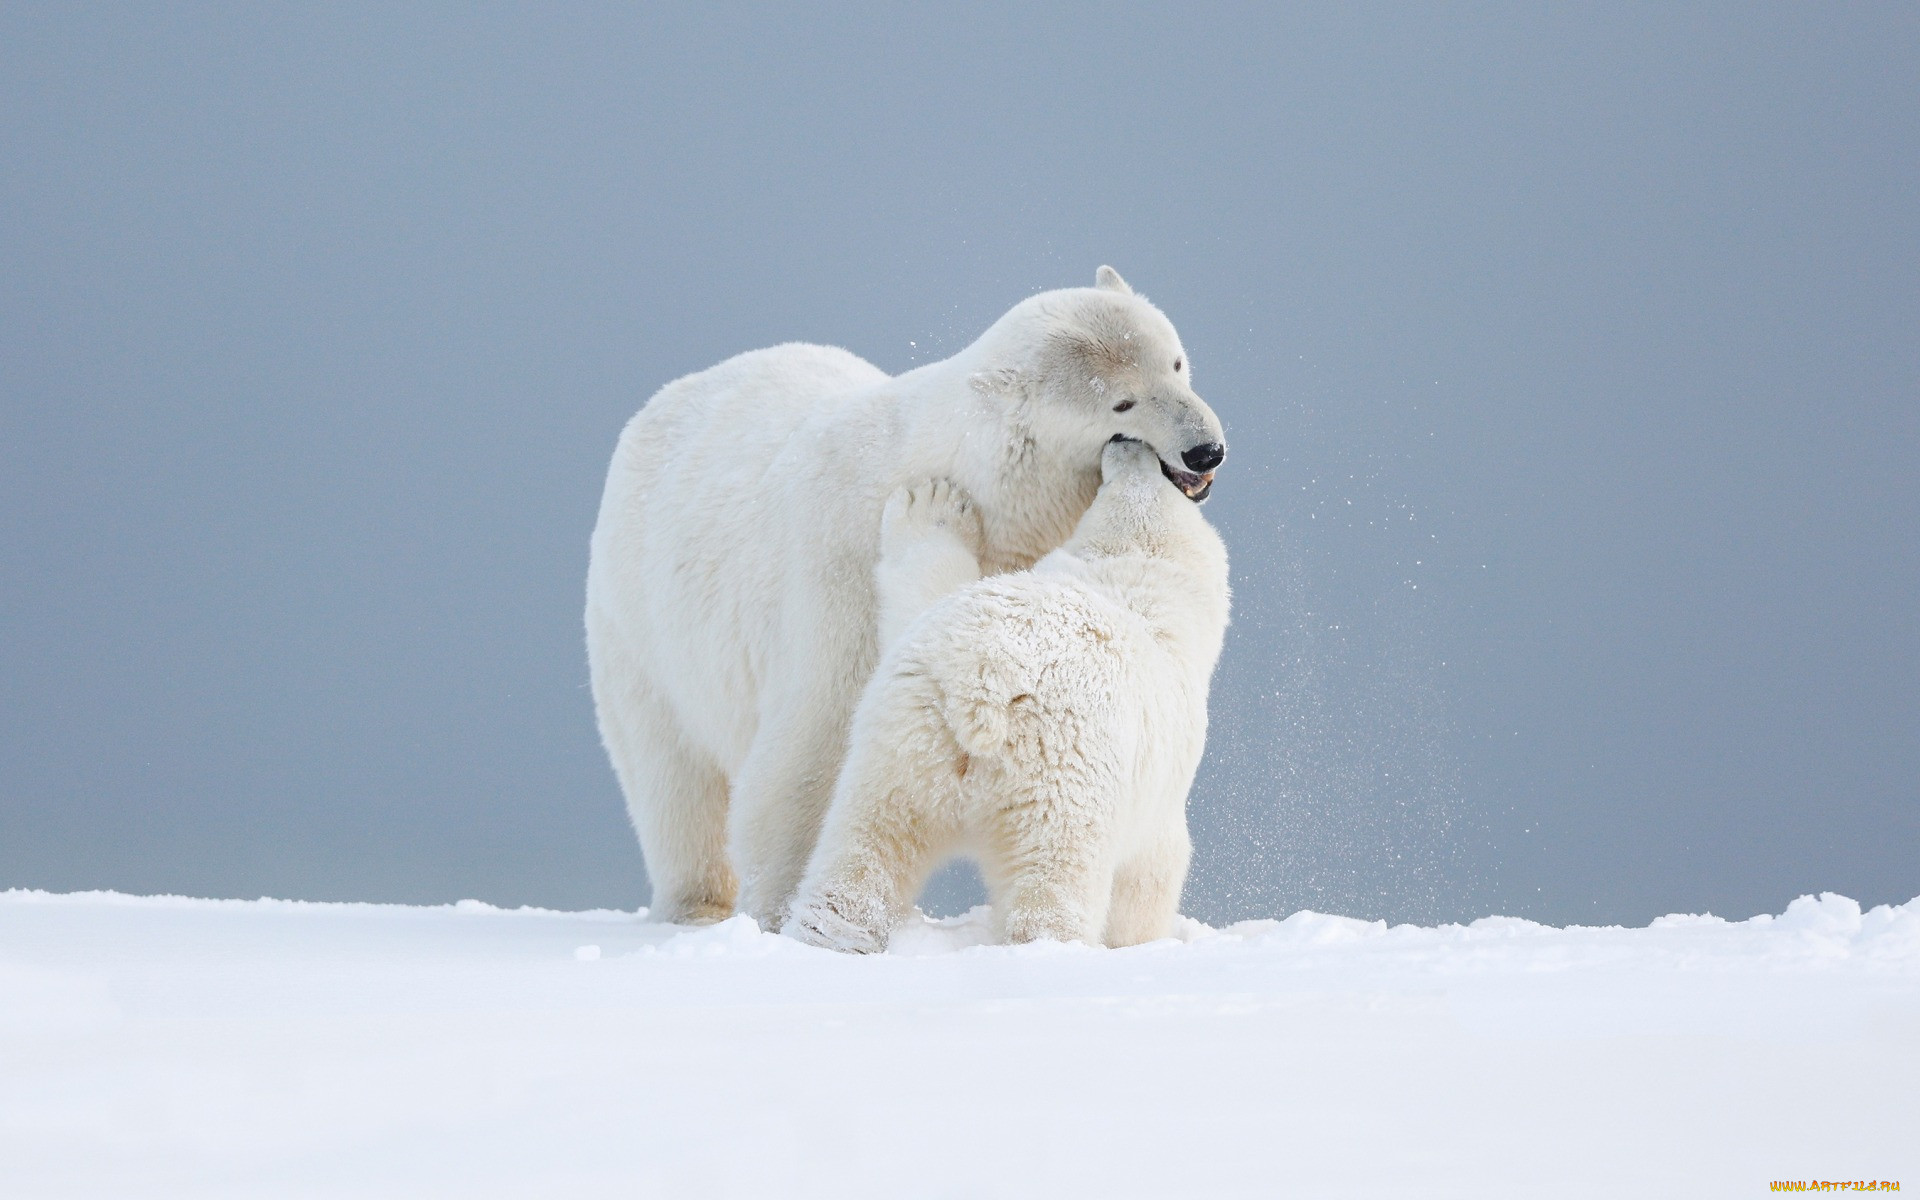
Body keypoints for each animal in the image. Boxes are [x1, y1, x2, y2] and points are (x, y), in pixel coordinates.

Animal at [779, 435, 1228, 948]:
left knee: (864, 852)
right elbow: (1152, 870)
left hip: (903, 739)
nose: (1125, 442)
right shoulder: (1161, 779)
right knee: (1051, 881)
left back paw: (827, 933)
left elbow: (920, 596)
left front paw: (930, 505)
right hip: (1061, 775)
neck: (1126, 576)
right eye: (1147, 475)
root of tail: (985, 685)